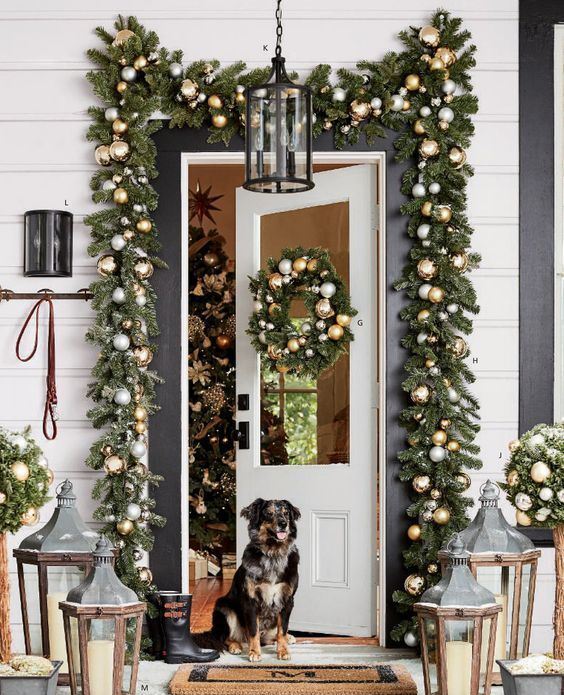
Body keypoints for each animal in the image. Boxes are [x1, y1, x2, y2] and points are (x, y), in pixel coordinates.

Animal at [200, 498, 302, 660]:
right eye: (269, 513)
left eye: (286, 513)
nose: (283, 523)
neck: (273, 554)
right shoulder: (251, 600)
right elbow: (253, 630)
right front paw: (254, 652)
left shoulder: (287, 600)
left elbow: (282, 630)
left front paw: (283, 651)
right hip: (224, 608)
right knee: (225, 637)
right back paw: (236, 646)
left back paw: (288, 638)